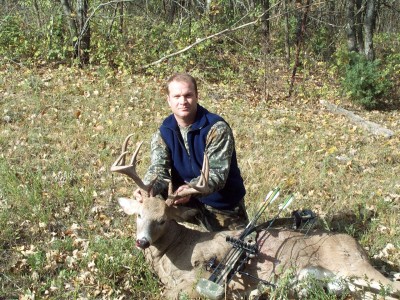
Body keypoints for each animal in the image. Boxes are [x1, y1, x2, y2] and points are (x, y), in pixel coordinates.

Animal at [111, 135, 400, 300]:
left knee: (393, 286)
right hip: (348, 285)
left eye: (162, 219)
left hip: (354, 268)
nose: (142, 241)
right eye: (138, 214)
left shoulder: (195, 282)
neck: (173, 254)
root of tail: (358, 246)